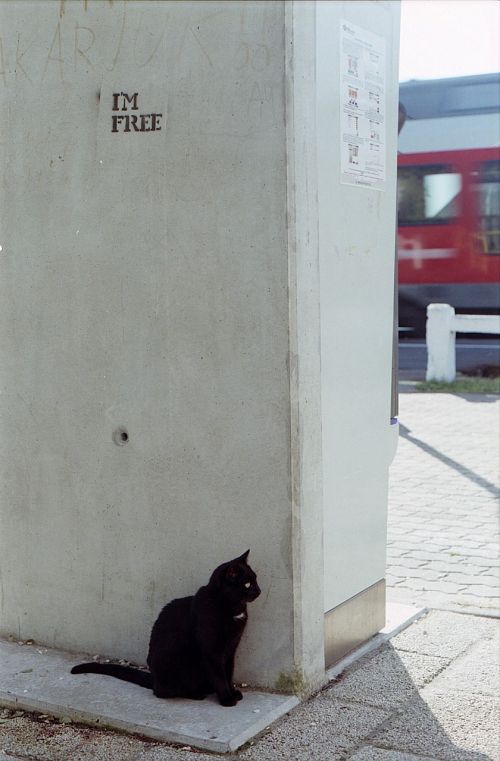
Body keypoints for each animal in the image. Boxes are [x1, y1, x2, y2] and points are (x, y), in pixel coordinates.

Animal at [72, 552, 260, 708]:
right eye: (247, 584)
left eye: (256, 580)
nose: (259, 590)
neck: (233, 609)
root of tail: (154, 679)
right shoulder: (212, 652)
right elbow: (220, 676)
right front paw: (227, 699)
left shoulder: (230, 649)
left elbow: (229, 673)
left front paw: (233, 692)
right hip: (176, 666)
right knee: (162, 692)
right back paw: (196, 694)